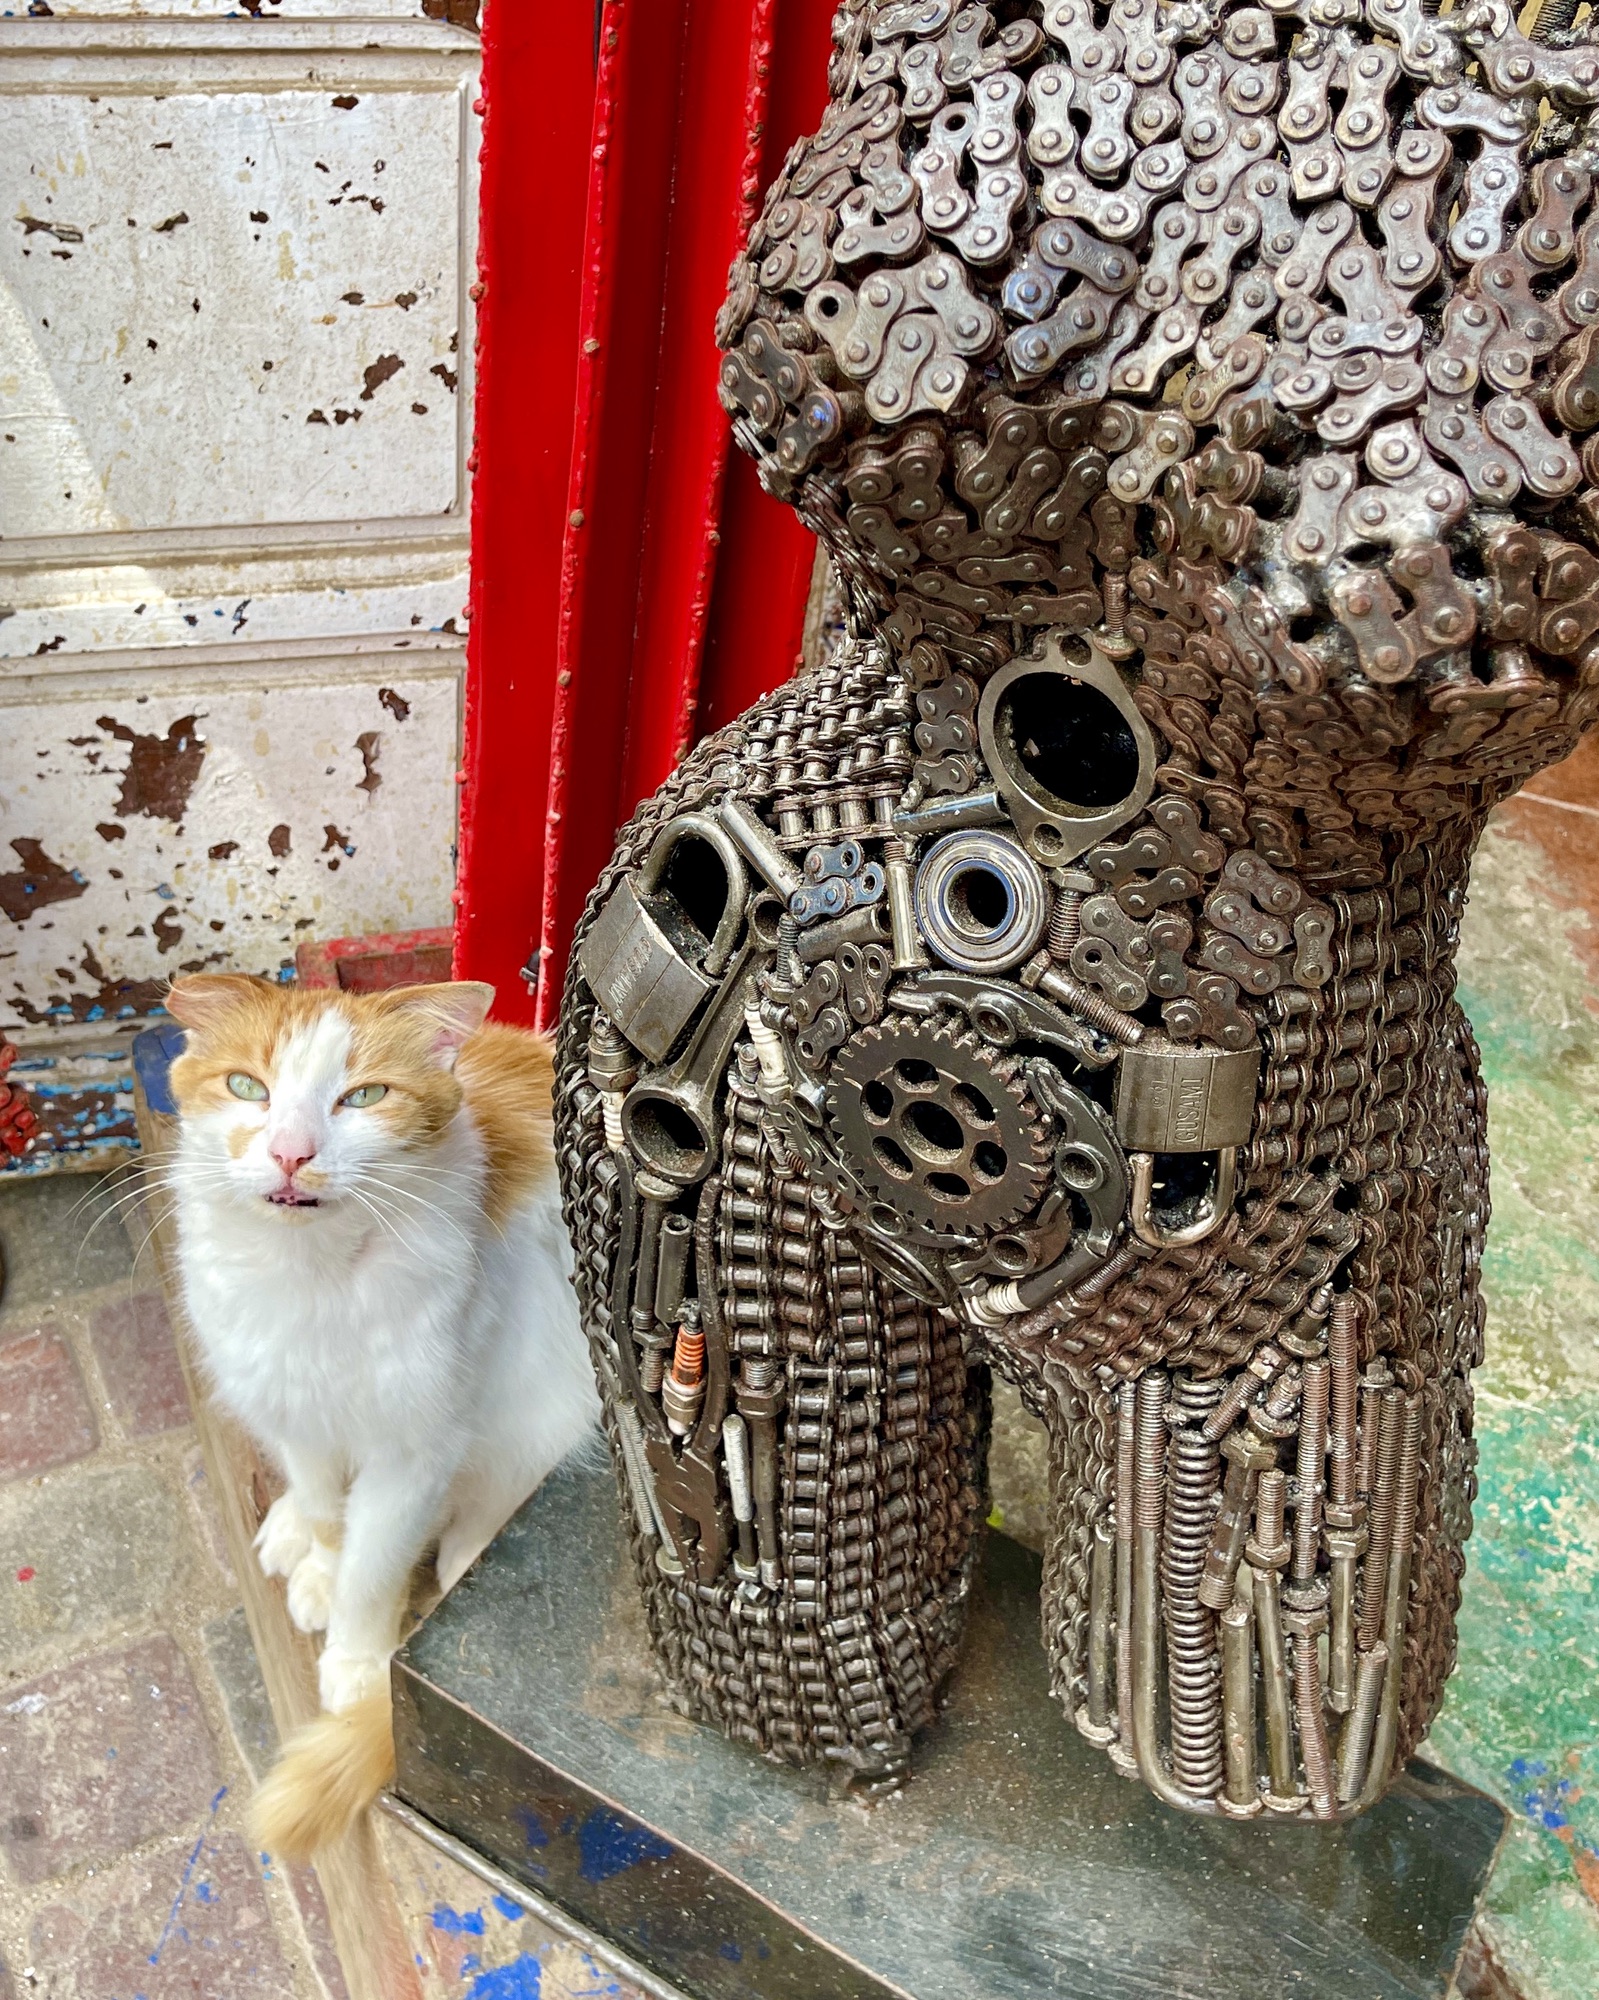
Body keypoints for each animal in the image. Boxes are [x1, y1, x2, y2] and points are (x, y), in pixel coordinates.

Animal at [163, 972, 598, 1855]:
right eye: (246, 1087)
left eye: (363, 1097)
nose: (291, 1152)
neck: (306, 1274)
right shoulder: (290, 1406)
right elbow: (330, 1517)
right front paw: (318, 1564)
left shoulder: (418, 1450)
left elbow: (373, 1564)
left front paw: (357, 1664)